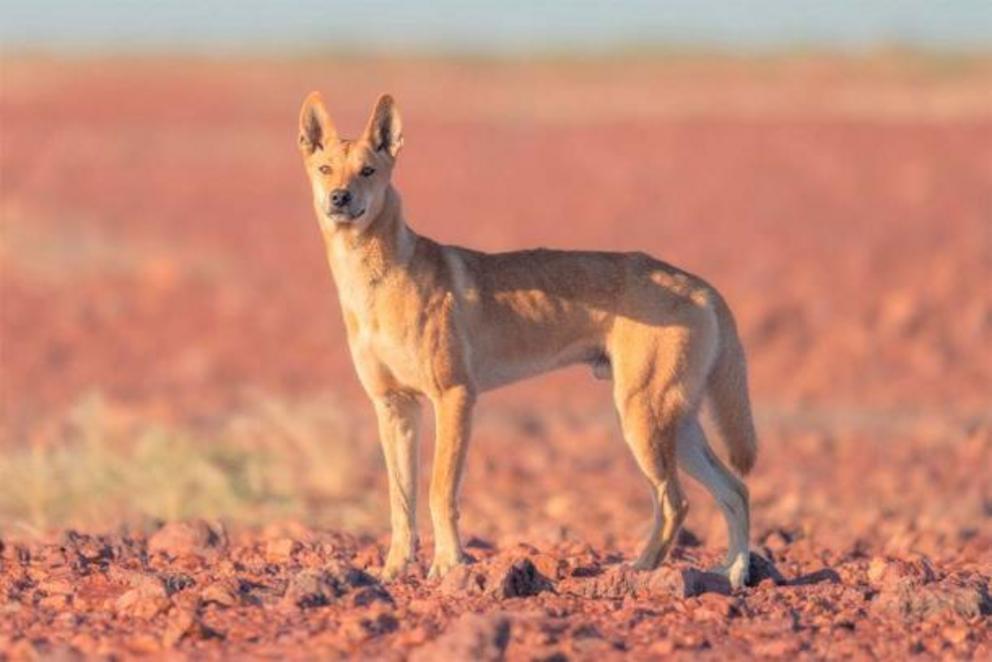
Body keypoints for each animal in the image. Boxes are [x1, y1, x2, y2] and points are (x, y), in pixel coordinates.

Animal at [298, 91, 756, 588]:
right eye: (325, 169)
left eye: (367, 170)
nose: (340, 198)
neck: (373, 282)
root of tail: (700, 284)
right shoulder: (393, 406)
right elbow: (400, 501)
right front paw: (393, 570)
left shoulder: (455, 396)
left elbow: (440, 492)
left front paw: (448, 566)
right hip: (678, 423)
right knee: (735, 490)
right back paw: (734, 574)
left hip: (642, 416)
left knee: (676, 501)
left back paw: (638, 571)